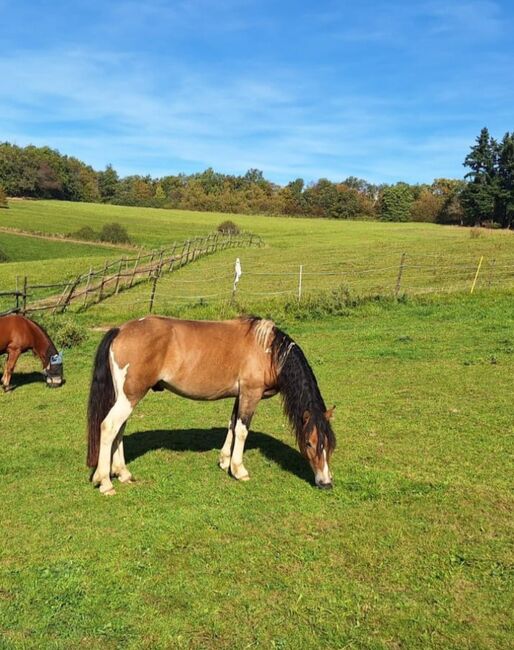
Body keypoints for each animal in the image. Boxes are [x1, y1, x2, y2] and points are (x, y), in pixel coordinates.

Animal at [87, 314, 336, 492]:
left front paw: (225, 461)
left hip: (125, 398)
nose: (326, 482)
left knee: (119, 430)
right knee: (109, 427)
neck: (269, 351)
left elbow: (232, 426)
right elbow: (242, 430)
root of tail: (120, 330)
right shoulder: (251, 394)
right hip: (130, 397)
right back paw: (105, 482)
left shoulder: (240, 395)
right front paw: (239, 470)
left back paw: (123, 473)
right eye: (310, 443)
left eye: (330, 445)